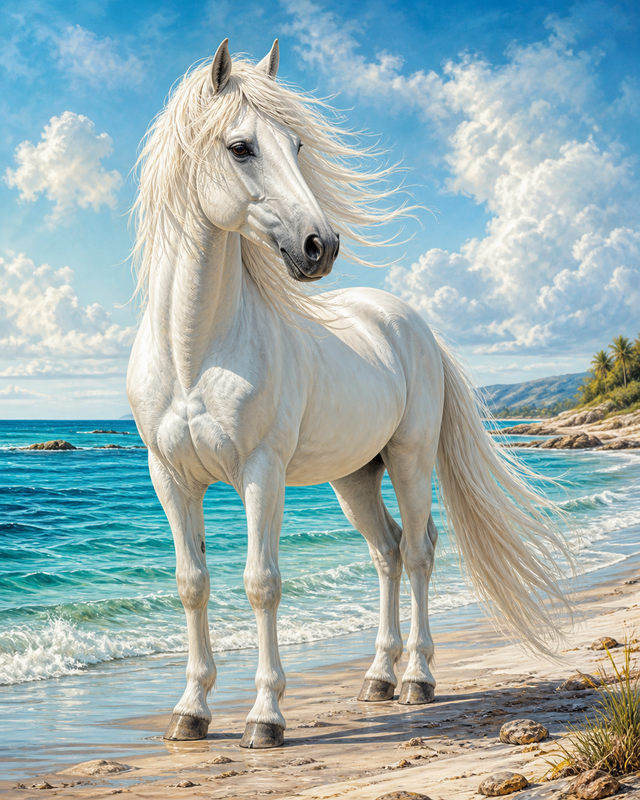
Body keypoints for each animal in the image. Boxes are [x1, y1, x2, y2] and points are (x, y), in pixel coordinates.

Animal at [127, 38, 571, 749]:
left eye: (298, 145)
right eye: (240, 147)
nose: (321, 245)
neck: (193, 351)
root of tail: (411, 322)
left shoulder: (262, 473)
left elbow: (262, 583)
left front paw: (265, 718)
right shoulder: (170, 477)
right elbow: (192, 583)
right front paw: (190, 712)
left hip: (410, 461)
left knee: (417, 551)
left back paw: (417, 679)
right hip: (355, 477)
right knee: (385, 552)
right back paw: (378, 678)